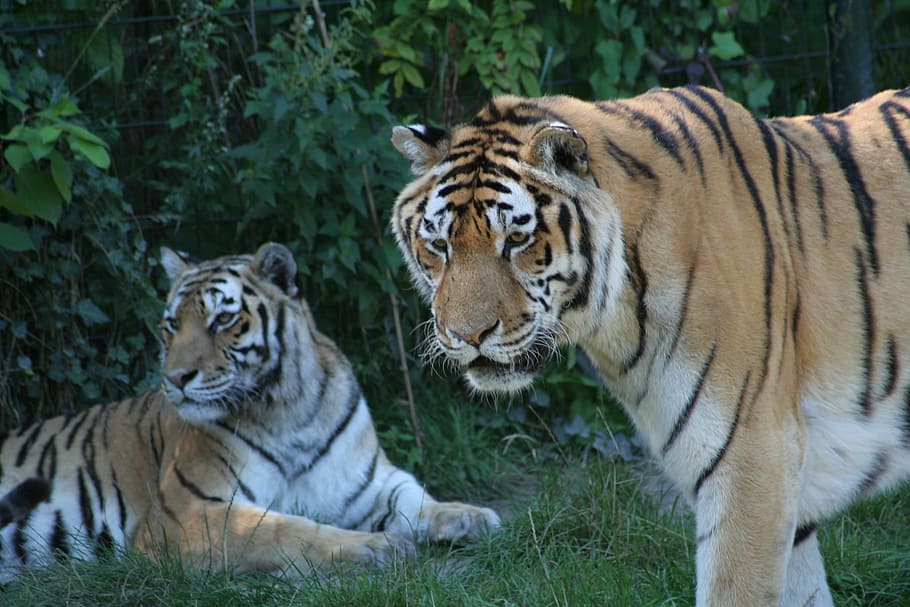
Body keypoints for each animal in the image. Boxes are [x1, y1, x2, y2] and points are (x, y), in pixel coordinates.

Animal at [0, 242, 499, 583]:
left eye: (222, 320)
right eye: (171, 325)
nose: (175, 378)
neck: (291, 412)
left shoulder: (367, 483)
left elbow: (413, 496)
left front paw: (472, 517)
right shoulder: (189, 513)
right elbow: (285, 530)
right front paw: (377, 548)